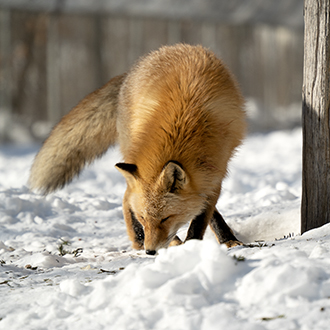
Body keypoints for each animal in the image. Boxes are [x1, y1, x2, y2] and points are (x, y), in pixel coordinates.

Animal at [29, 43, 245, 255]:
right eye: (142, 218)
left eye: (165, 218)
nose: (150, 251)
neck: (186, 126)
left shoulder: (215, 172)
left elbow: (203, 216)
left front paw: (222, 240)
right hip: (131, 153)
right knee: (127, 197)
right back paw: (142, 240)